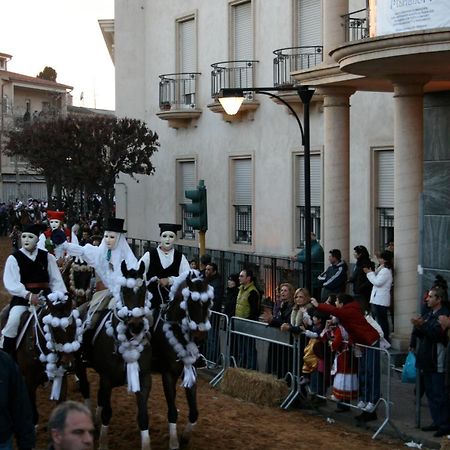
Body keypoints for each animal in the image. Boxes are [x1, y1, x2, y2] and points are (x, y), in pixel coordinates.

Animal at [76, 260, 153, 450]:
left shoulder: (144, 378)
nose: (136, 325)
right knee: (86, 388)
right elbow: (107, 412)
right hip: (79, 363)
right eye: (124, 290)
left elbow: (143, 415)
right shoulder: (107, 378)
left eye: (144, 290)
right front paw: (103, 443)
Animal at [152, 270, 214, 450]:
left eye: (209, 303)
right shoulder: (168, 375)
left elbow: (194, 412)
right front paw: (174, 442)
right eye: (191, 303)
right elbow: (172, 411)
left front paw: (185, 437)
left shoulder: (190, 373)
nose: (200, 337)